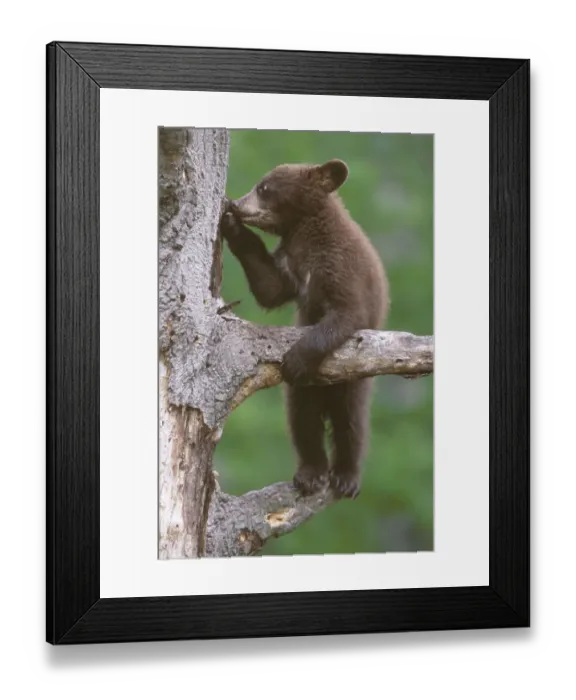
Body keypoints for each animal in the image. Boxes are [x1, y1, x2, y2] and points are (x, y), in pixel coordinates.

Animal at [220, 158, 390, 499]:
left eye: (265, 187)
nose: (239, 203)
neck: (306, 233)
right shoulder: (291, 264)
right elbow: (270, 287)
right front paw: (231, 225)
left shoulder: (341, 267)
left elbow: (346, 314)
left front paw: (295, 359)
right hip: (304, 393)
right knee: (303, 419)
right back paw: (311, 473)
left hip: (354, 380)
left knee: (351, 422)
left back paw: (346, 477)